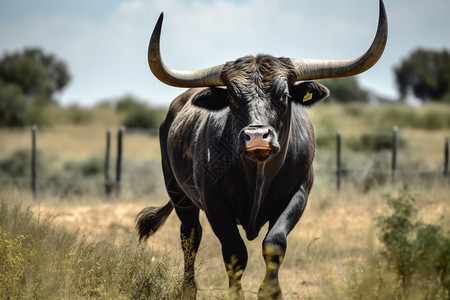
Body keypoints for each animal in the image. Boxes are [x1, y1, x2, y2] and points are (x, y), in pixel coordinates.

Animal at [136, 1, 386, 298]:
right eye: (232, 97)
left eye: (284, 95)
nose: (257, 136)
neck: (258, 172)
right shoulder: (214, 201)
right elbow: (235, 252)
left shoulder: (298, 194)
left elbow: (274, 243)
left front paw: (270, 291)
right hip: (179, 194)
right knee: (190, 237)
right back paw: (188, 290)